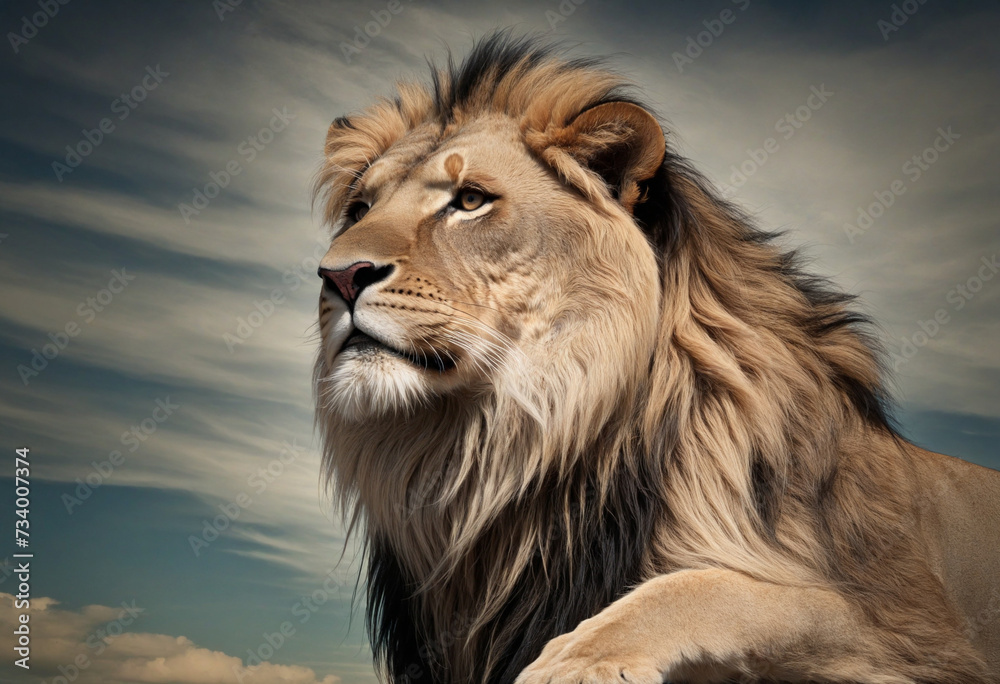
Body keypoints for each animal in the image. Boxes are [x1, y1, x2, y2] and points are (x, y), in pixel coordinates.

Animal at [312, 31, 1000, 684]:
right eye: (360, 209)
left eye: (471, 199)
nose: (337, 276)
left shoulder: (908, 632)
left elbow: (717, 588)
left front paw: (573, 661)